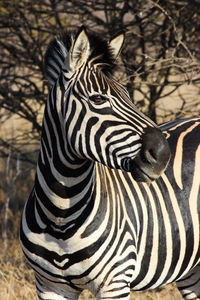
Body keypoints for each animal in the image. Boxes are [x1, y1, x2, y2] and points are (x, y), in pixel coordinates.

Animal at [19, 26, 200, 300]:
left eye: (127, 95)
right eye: (97, 99)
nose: (162, 155)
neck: (60, 215)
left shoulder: (114, 283)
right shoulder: (48, 285)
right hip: (192, 271)